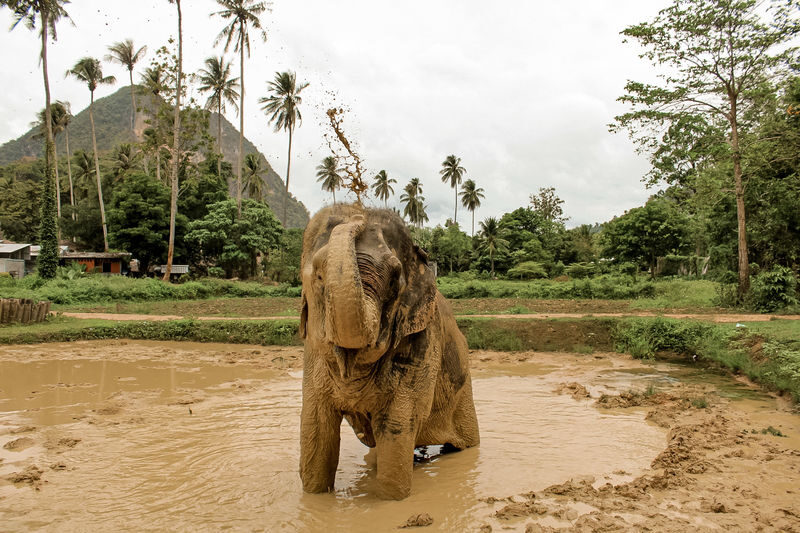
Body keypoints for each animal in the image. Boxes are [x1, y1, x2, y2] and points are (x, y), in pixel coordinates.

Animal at [298, 204, 480, 500]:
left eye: (394, 281)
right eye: (319, 276)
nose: (358, 214)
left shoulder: (422, 342)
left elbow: (397, 422)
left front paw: (389, 501)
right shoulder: (313, 353)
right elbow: (316, 426)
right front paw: (314, 500)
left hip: (463, 392)